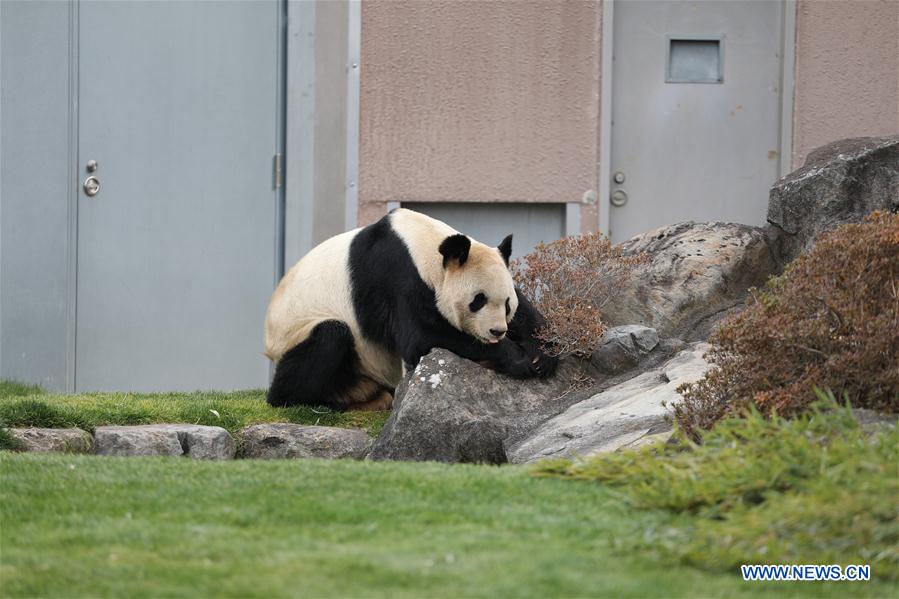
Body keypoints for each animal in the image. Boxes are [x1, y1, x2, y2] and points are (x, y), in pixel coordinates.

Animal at [262, 209, 556, 410]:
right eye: (478, 300)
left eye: (506, 304)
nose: (497, 331)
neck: (422, 245)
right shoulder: (396, 278)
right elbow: (422, 338)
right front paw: (518, 358)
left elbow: (527, 313)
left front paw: (543, 354)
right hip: (297, 332)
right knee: (328, 337)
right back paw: (314, 400)